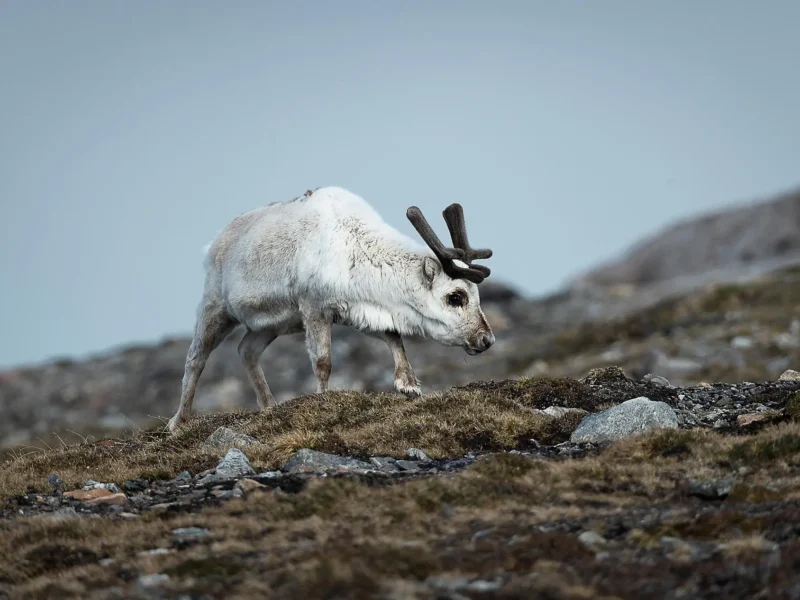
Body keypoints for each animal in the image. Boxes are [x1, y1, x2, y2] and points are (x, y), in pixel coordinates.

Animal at [167, 186, 495, 432]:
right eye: (455, 297)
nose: (487, 339)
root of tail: (214, 242)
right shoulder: (313, 306)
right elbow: (322, 361)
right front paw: (322, 399)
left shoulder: (358, 310)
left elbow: (394, 337)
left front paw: (408, 384)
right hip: (215, 306)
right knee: (195, 358)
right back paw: (178, 421)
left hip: (271, 324)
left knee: (246, 350)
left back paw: (269, 406)